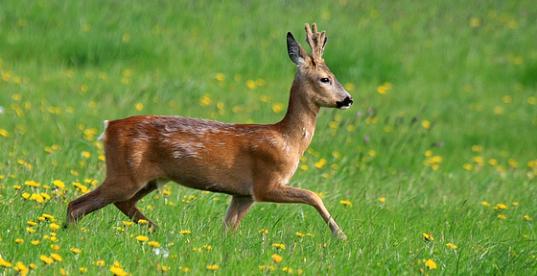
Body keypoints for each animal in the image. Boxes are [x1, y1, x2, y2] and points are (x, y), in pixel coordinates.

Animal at [66, 23, 352, 239]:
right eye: (325, 78)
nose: (348, 99)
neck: (289, 140)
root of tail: (109, 127)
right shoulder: (266, 183)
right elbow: (313, 194)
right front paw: (340, 235)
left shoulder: (243, 194)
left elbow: (227, 230)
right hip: (126, 173)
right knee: (78, 204)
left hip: (149, 179)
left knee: (117, 203)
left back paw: (155, 229)